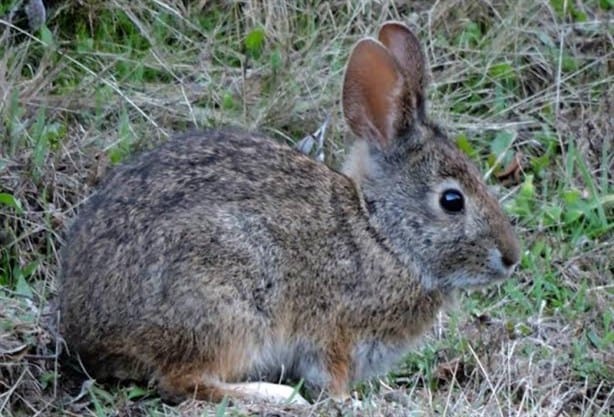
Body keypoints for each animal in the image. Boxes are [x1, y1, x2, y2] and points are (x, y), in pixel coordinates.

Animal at [57, 22, 524, 404]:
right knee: (182, 381)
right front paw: (346, 402)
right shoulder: (335, 333)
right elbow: (329, 375)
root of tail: (87, 332)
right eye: (452, 201)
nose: (511, 258)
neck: (379, 234)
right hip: (224, 301)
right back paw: (276, 395)